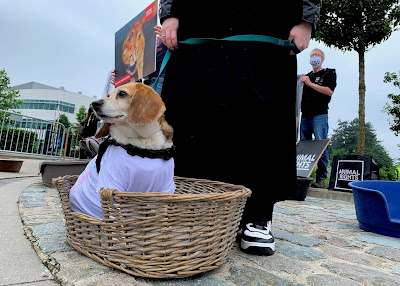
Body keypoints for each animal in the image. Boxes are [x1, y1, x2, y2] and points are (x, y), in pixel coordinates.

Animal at [69, 82, 175, 219]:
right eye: (108, 95)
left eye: (122, 93)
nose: (94, 103)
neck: (143, 143)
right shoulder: (112, 187)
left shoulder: (166, 189)